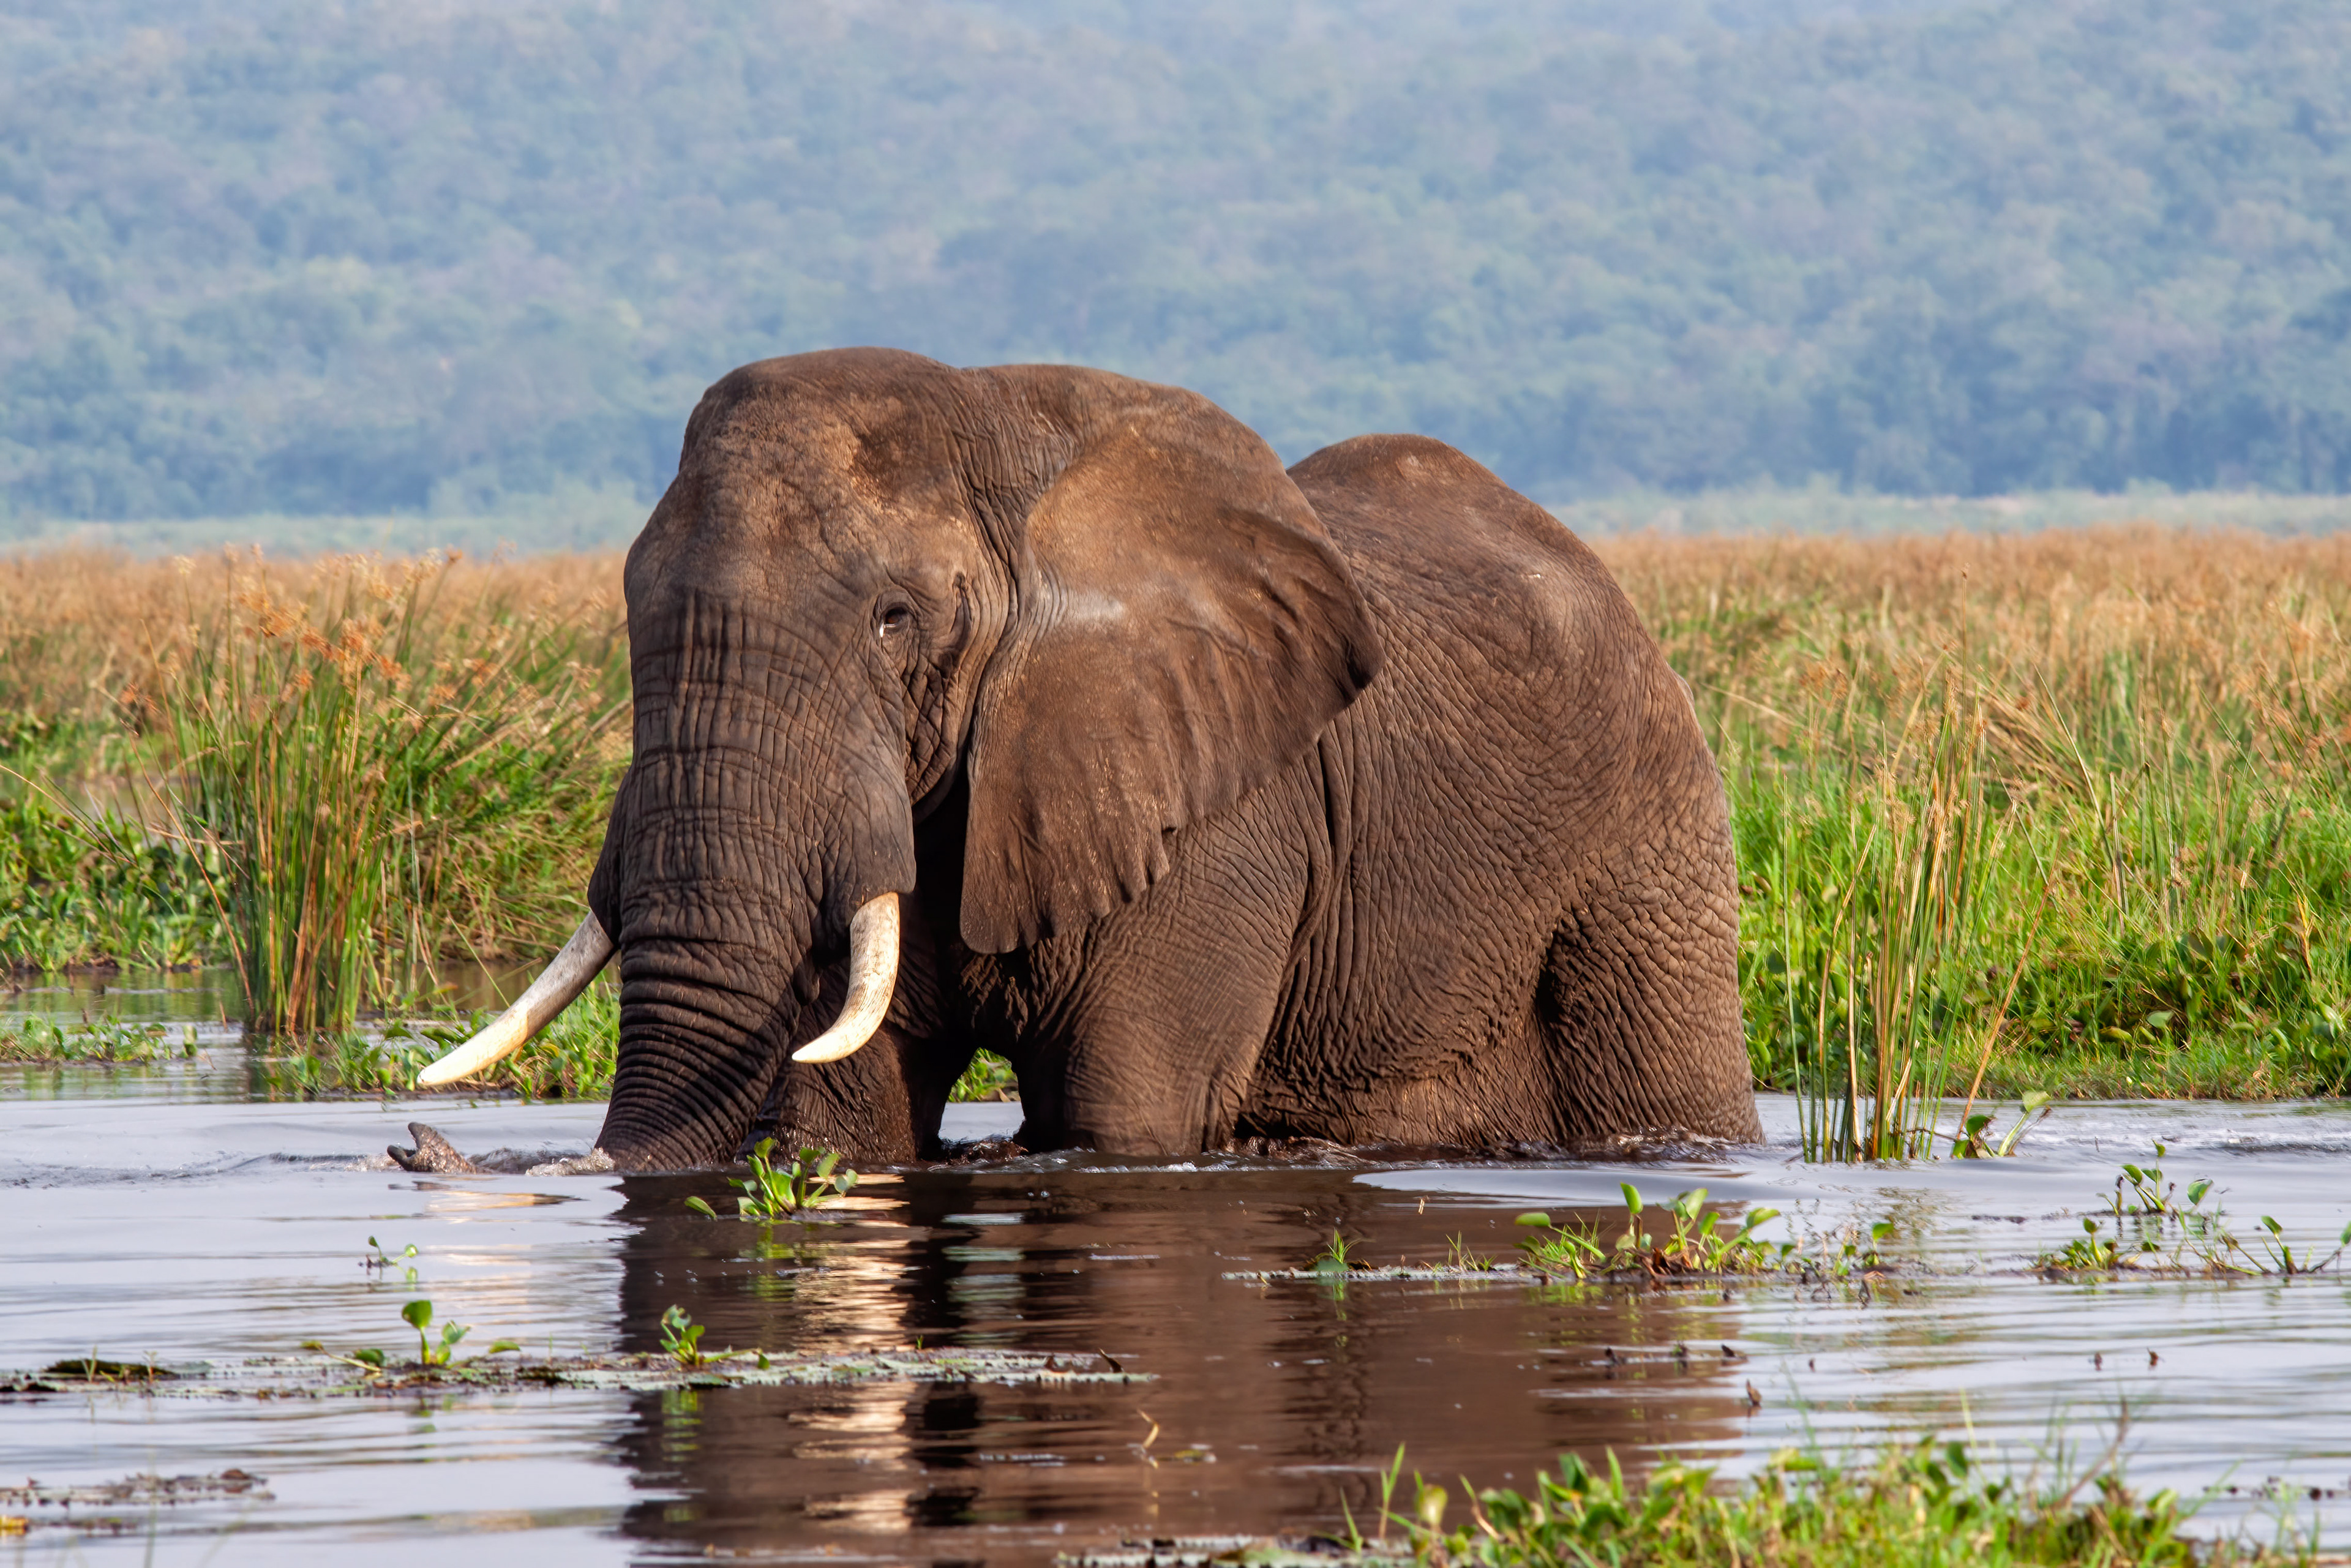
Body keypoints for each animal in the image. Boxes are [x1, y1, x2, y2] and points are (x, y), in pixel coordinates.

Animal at [406, 347, 1761, 1170]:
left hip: (1648, 841)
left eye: (895, 619)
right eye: (630, 604)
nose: (418, 1145)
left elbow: (1128, 1116)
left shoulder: (1221, 814)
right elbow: (852, 1116)